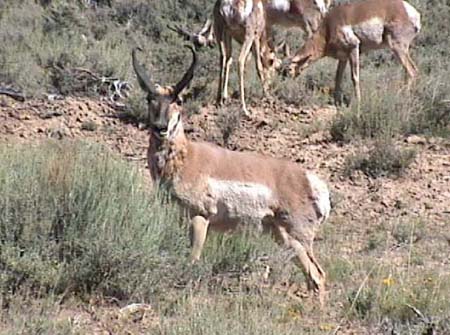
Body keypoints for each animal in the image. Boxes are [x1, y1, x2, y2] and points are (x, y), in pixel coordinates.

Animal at [132, 46, 332, 306]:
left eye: (179, 100)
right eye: (149, 99)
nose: (160, 128)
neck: (188, 156)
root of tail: (311, 181)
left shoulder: (199, 218)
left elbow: (193, 259)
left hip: (297, 237)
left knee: (318, 275)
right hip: (284, 237)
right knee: (312, 276)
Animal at [284, 0, 420, 105]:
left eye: (289, 69)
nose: (286, 83)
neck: (328, 29)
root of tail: (411, 11)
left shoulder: (354, 48)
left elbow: (354, 77)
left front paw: (358, 102)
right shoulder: (343, 58)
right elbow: (337, 77)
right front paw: (336, 101)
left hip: (397, 48)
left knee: (412, 71)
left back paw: (401, 98)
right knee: (409, 72)